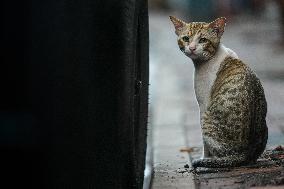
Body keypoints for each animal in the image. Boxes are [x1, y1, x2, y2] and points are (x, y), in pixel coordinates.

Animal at [170, 15, 268, 168]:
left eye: (203, 40)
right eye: (186, 38)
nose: (191, 48)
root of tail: (244, 153)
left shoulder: (203, 105)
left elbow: (205, 145)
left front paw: (204, 158)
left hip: (206, 118)